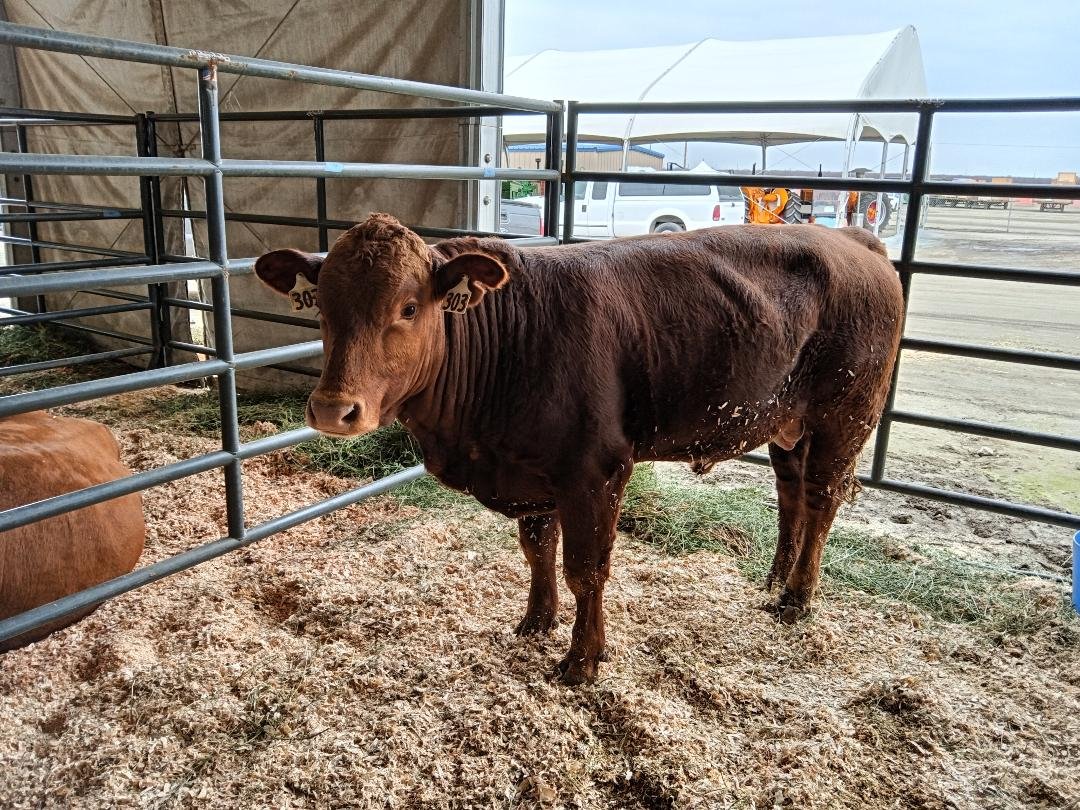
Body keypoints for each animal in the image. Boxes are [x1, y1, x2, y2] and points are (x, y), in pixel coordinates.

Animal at [255, 214, 903, 684]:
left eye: (409, 308)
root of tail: (852, 237)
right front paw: (535, 622)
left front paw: (582, 660)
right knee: (791, 496)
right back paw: (772, 581)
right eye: (324, 308)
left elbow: (585, 570)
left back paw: (797, 598)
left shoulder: (595, 471)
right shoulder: (530, 472)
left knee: (821, 500)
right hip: (785, 424)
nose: (333, 409)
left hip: (845, 417)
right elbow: (537, 552)